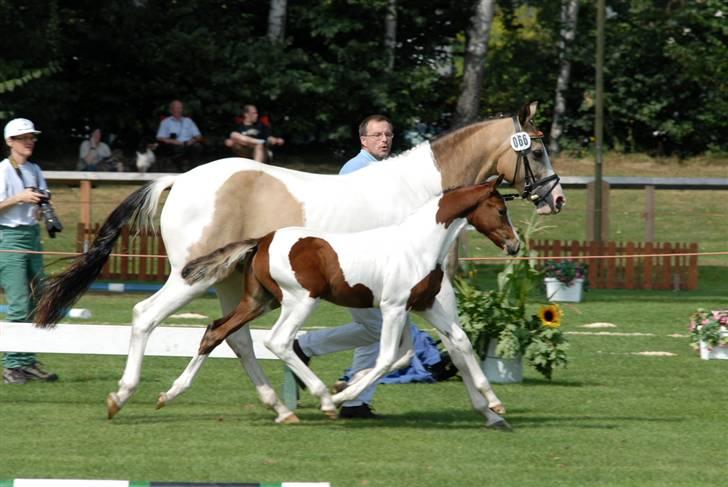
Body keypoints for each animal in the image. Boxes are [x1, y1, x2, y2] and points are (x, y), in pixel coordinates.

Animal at [34, 102, 564, 424]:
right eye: (537, 149)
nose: (555, 198)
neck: (421, 198)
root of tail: (179, 180)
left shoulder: (419, 293)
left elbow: (449, 343)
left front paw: (489, 408)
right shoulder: (390, 297)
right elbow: (396, 350)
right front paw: (343, 395)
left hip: (230, 282)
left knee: (234, 336)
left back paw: (278, 406)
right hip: (190, 278)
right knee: (148, 316)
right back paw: (123, 394)